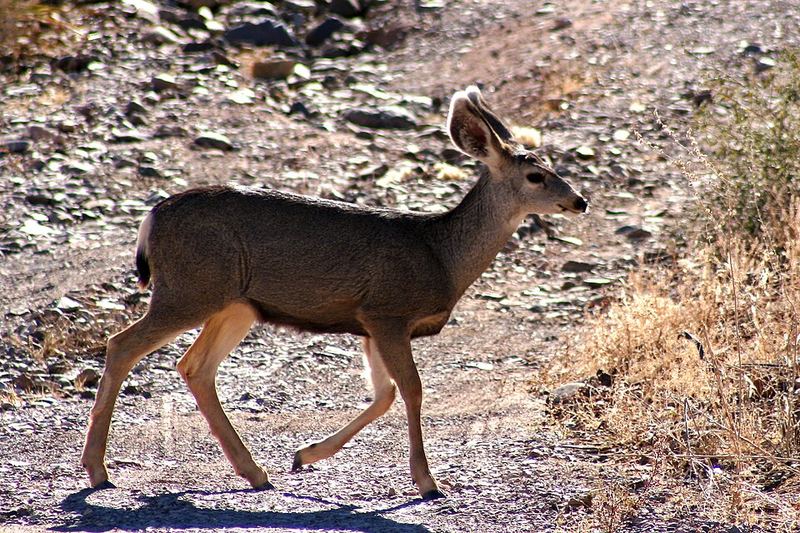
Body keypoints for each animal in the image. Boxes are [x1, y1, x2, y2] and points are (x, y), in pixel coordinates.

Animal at [80, 86, 588, 500]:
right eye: (536, 176)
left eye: (554, 167)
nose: (579, 200)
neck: (441, 254)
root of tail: (152, 217)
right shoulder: (388, 310)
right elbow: (412, 389)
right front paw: (427, 482)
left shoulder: (368, 322)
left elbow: (384, 394)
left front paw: (305, 455)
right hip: (190, 288)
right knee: (122, 344)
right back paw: (98, 471)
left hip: (235, 304)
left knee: (195, 366)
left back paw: (255, 471)